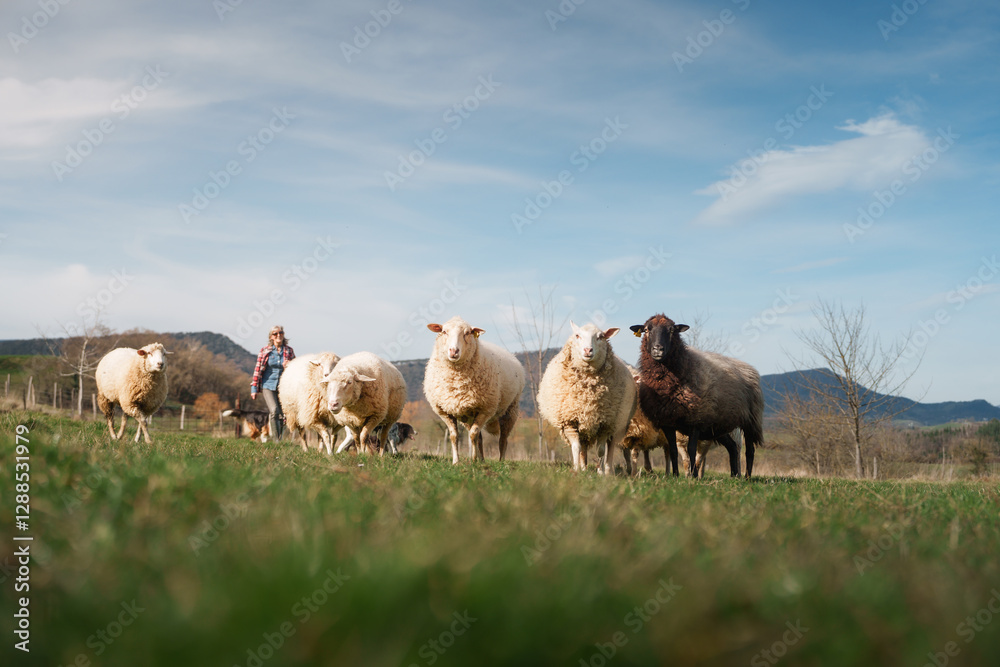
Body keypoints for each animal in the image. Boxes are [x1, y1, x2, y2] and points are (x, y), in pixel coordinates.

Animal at [422, 316, 525, 464]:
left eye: (467, 333)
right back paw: (482, 460)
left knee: (503, 439)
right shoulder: (444, 411)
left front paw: (473, 459)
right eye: (444, 331)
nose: (453, 351)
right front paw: (456, 461)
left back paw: (500, 461)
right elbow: (454, 436)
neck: (456, 381)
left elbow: (473, 434)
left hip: (510, 410)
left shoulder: (486, 409)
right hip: (469, 416)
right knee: (481, 438)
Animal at [537, 322, 637, 474]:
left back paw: (608, 470)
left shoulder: (605, 423)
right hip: (584, 426)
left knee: (610, 446)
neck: (587, 396)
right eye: (577, 335)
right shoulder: (570, 421)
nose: (588, 350)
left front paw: (600, 472)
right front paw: (577, 469)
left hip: (616, 423)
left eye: (601, 336)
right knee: (583, 447)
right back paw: (584, 468)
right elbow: (576, 447)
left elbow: (601, 450)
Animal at [630, 314, 763, 478]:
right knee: (732, 447)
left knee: (749, 450)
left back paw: (747, 477)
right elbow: (673, 451)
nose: (658, 349)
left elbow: (692, 450)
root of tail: (749, 367)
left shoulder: (696, 419)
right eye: (647, 329)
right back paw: (734, 475)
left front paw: (692, 476)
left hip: (751, 420)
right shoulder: (668, 422)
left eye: (672, 330)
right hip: (718, 425)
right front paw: (675, 475)